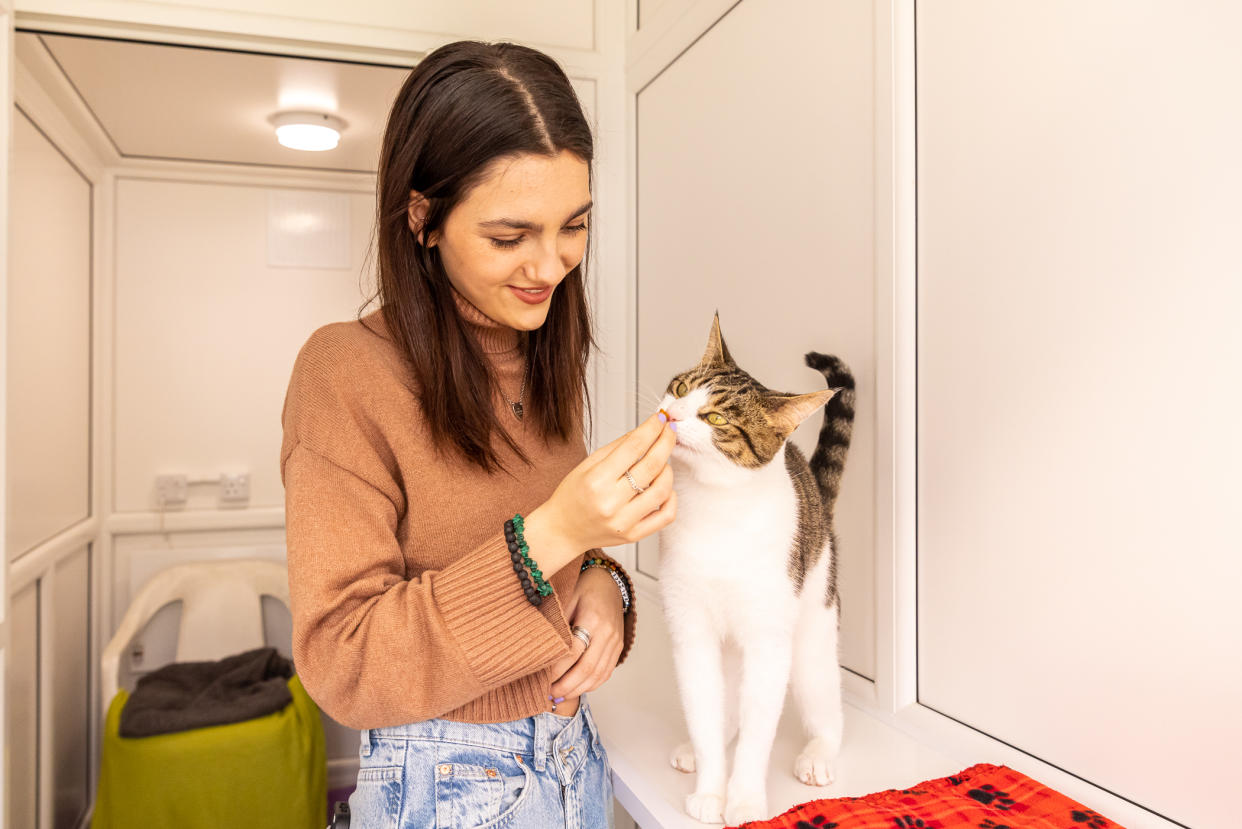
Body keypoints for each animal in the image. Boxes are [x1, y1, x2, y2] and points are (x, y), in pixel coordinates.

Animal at [660, 314, 854, 825]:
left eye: (716, 418)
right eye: (681, 388)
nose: (670, 416)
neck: (713, 509)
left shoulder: (768, 644)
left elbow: (757, 733)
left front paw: (744, 800)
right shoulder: (692, 632)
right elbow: (705, 714)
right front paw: (711, 791)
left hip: (810, 634)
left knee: (825, 706)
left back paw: (818, 754)